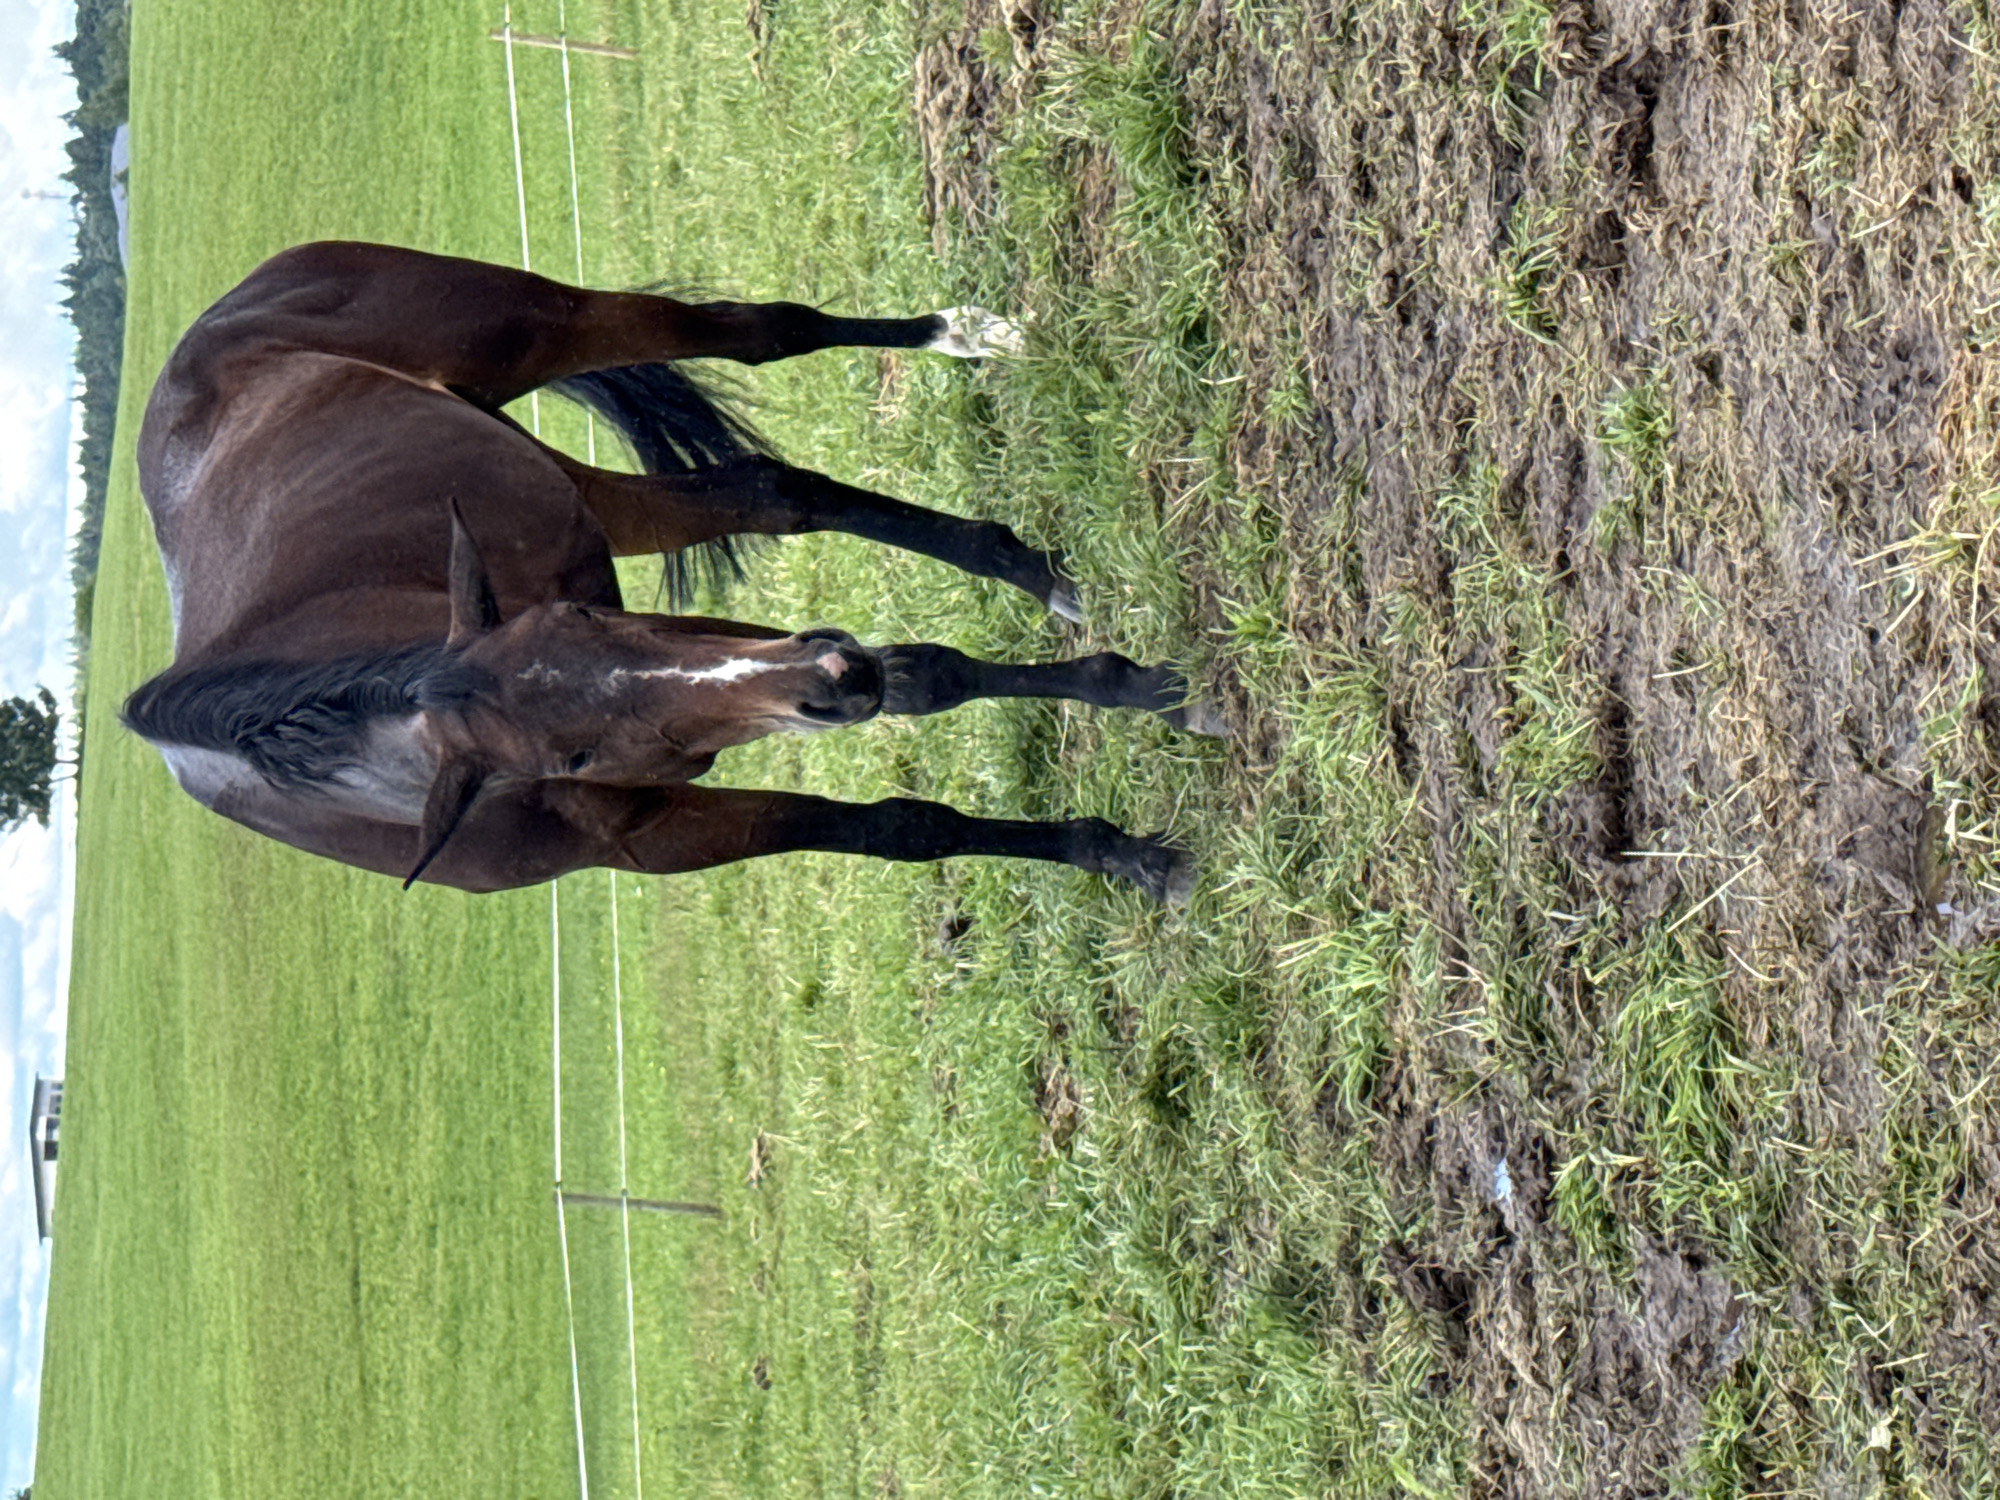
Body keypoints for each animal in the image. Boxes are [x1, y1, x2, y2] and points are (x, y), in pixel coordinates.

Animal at [121, 242, 1218, 903]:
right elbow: (902, 815)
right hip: (580, 490)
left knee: (761, 330)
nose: (832, 684)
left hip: (538, 323)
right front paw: (1120, 838)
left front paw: (1149, 704)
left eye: (584, 622)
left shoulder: (693, 649)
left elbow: (924, 683)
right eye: (565, 759)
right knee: (771, 491)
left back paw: (964, 340)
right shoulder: (668, 819)